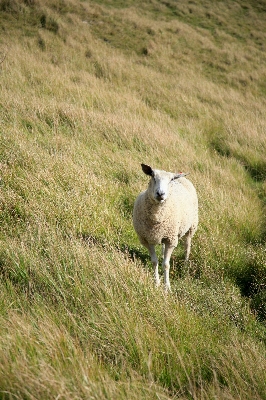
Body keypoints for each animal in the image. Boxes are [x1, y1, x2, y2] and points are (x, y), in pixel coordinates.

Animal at [133, 162, 197, 290]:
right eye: (152, 176)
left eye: (170, 180)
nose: (160, 194)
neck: (157, 216)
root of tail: (180, 176)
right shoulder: (147, 239)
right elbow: (154, 262)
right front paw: (157, 282)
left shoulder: (171, 240)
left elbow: (166, 265)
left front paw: (167, 286)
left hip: (191, 227)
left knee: (187, 245)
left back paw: (185, 263)